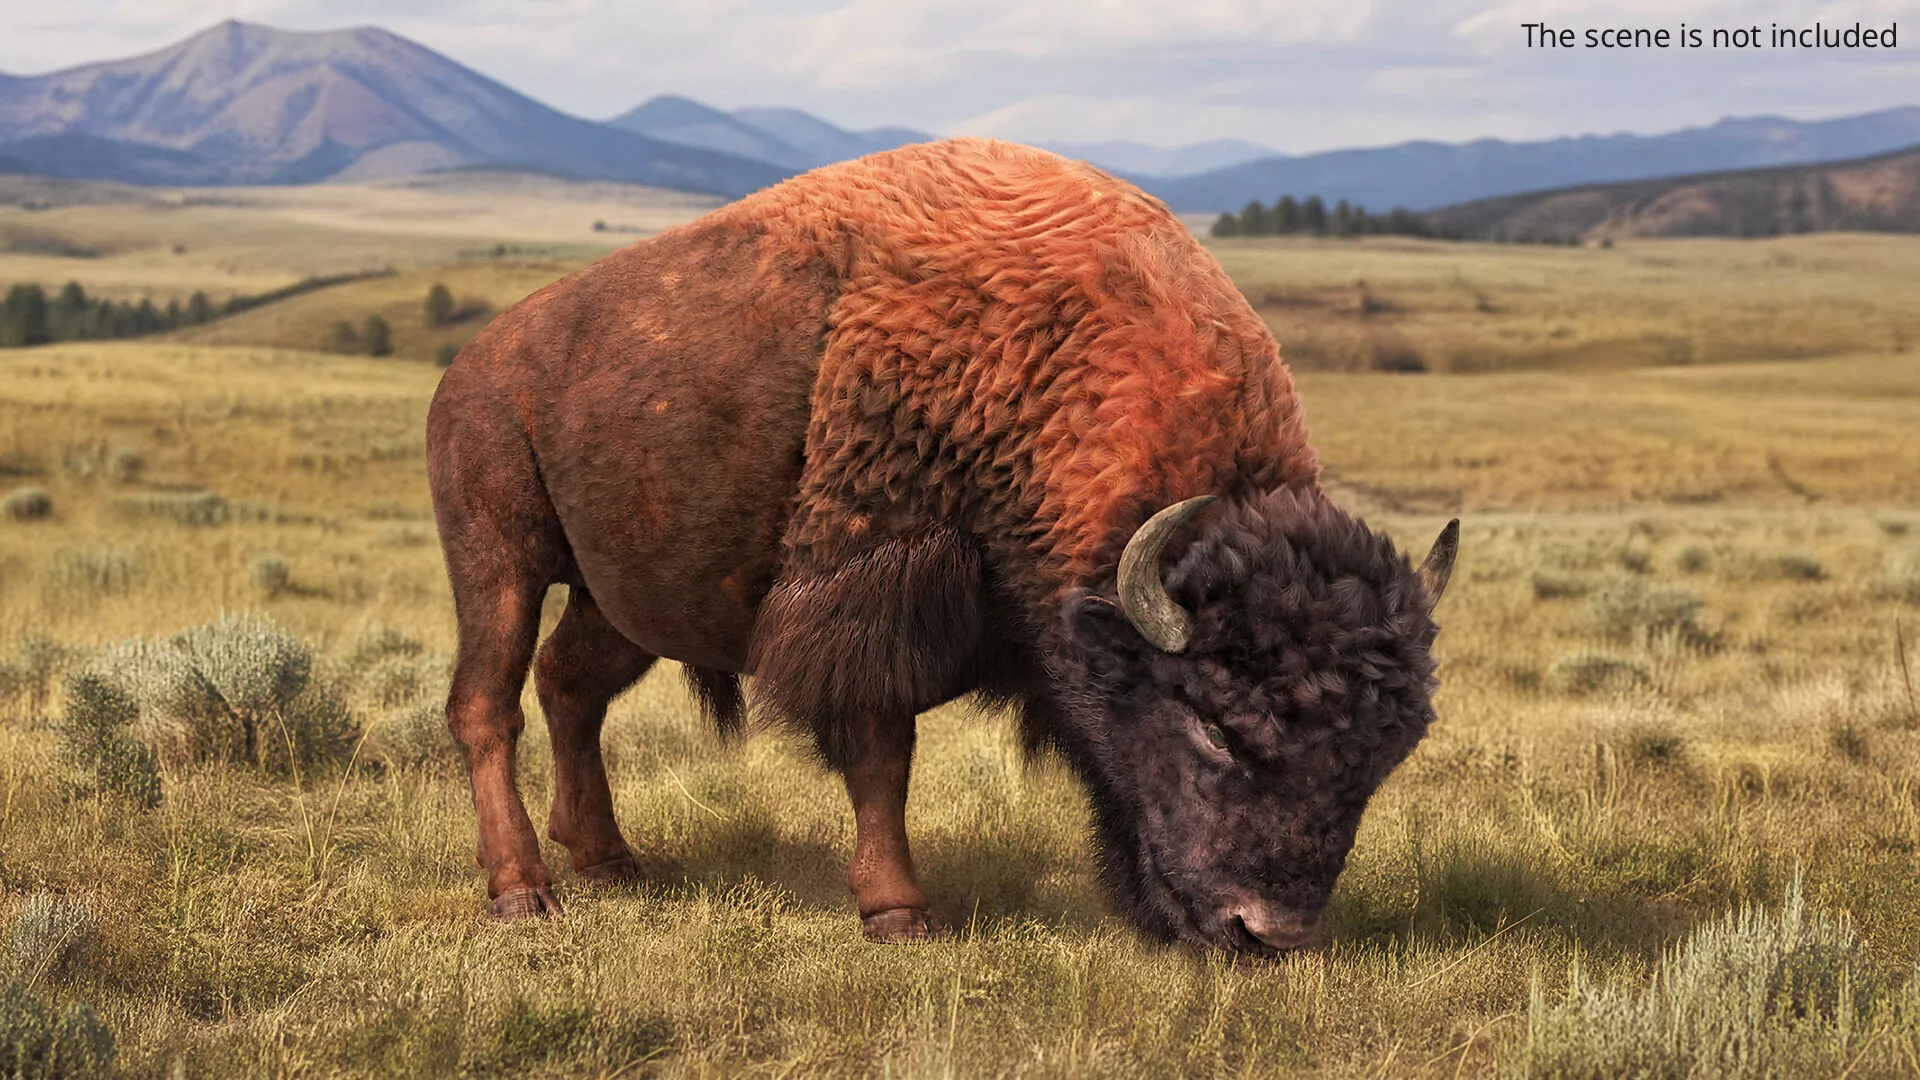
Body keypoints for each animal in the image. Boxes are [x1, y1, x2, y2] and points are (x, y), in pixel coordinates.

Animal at [426, 137, 1455, 952]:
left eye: (1387, 754)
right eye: (1214, 726)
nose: (1266, 933)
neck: (1044, 365)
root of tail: (471, 366)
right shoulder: (875, 586)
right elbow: (883, 751)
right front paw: (900, 913)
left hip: (620, 598)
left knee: (570, 686)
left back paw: (609, 861)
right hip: (498, 561)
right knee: (488, 704)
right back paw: (523, 891)